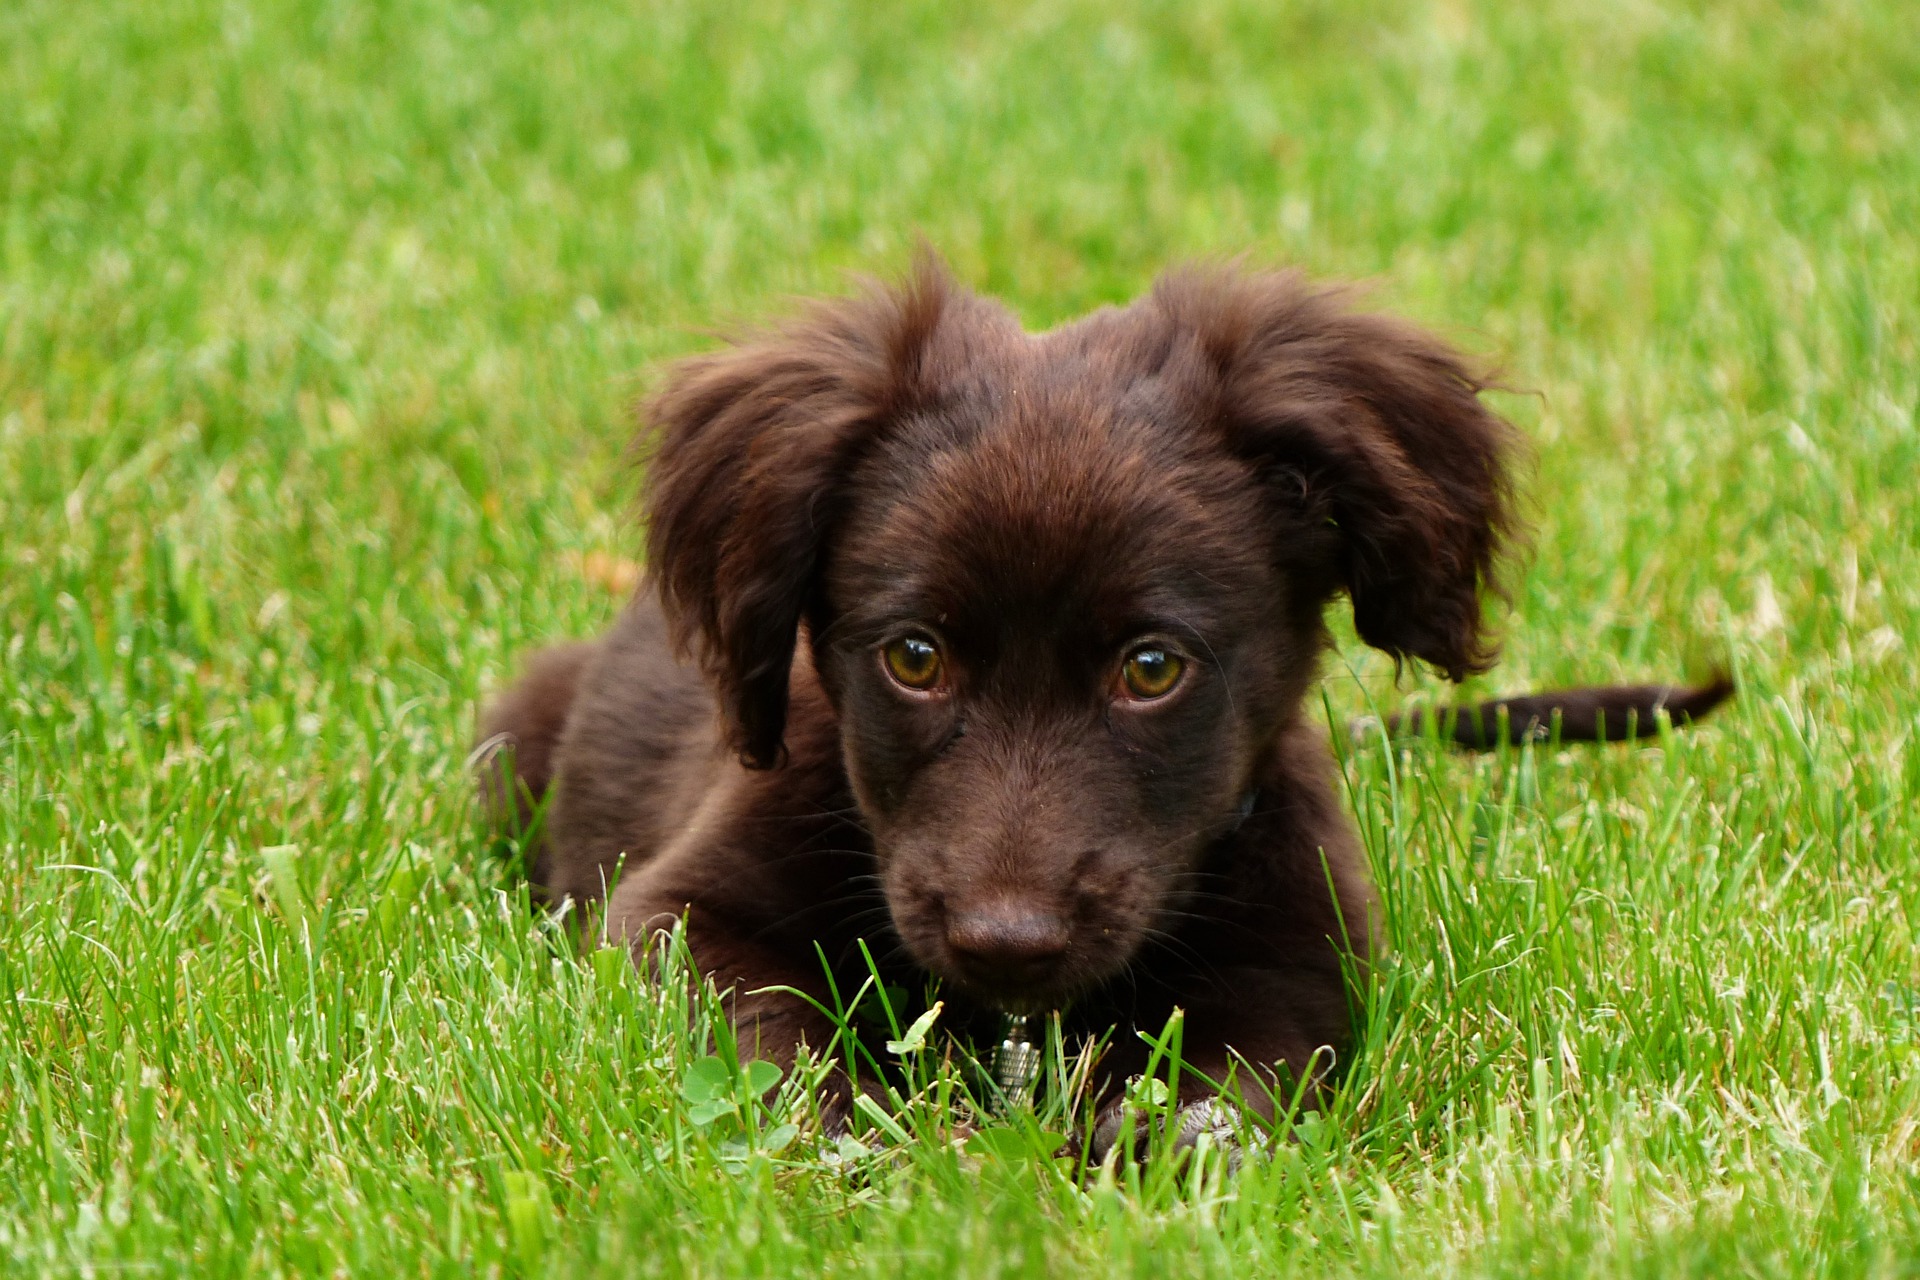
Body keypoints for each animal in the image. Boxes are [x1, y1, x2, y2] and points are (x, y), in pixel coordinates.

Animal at [476, 255, 1728, 1159]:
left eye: (1153, 668)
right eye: (915, 656)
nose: (1008, 939)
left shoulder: (1301, 956)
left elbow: (1237, 1079)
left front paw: (1153, 1144)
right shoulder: (678, 912)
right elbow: (773, 1043)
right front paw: (874, 1143)